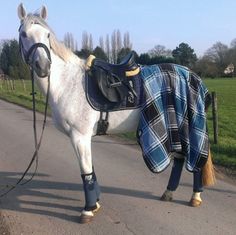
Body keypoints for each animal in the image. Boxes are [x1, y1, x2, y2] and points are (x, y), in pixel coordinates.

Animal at [17, 4, 215, 223]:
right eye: (24, 34)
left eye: (47, 35)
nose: (43, 66)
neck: (67, 83)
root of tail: (194, 77)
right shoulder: (80, 138)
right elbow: (91, 170)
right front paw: (95, 204)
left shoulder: (79, 136)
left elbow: (86, 171)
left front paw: (88, 209)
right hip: (178, 125)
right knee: (180, 160)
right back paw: (169, 193)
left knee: (196, 161)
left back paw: (195, 197)